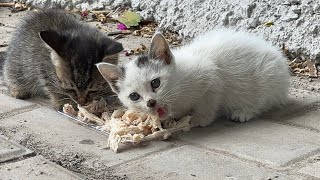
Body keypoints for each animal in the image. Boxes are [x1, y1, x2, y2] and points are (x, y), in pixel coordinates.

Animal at [95, 29, 290, 126]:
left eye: (155, 83)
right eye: (134, 96)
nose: (151, 102)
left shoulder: (211, 77)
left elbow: (208, 102)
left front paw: (199, 119)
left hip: (268, 78)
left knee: (263, 100)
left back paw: (245, 111)